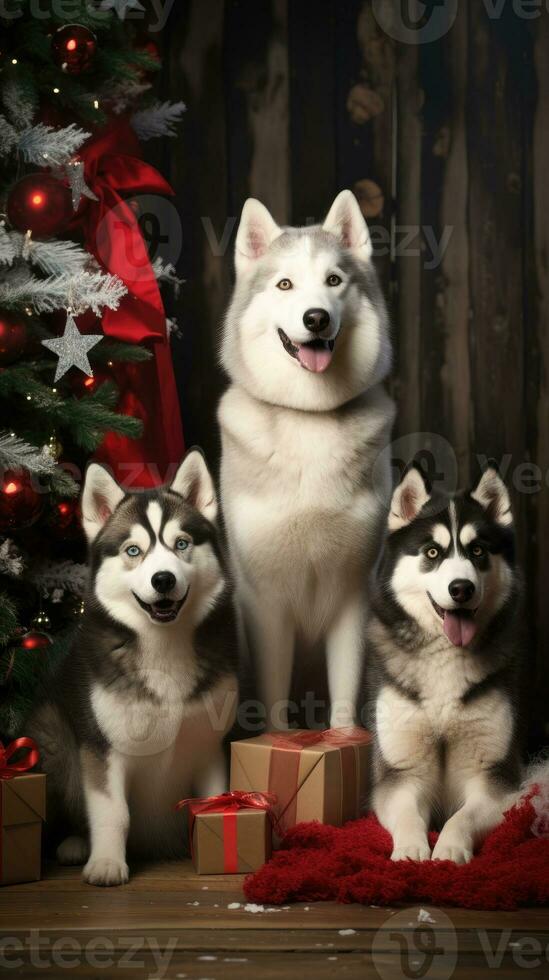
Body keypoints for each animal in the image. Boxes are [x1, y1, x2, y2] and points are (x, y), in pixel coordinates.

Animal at [26, 452, 238, 888]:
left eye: (181, 543)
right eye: (134, 550)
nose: (164, 579)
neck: (163, 646)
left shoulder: (209, 744)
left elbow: (210, 800)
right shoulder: (103, 748)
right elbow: (113, 813)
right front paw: (107, 863)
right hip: (50, 734)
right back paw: (74, 844)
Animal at [218, 189, 394, 728]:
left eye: (334, 280)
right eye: (285, 284)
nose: (316, 317)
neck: (309, 417)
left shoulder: (354, 594)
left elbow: (344, 699)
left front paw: (340, 737)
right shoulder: (266, 604)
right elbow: (274, 701)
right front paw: (276, 737)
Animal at [366, 464, 524, 860]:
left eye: (478, 550)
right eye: (433, 551)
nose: (461, 588)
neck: (445, 659)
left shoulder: (495, 779)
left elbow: (461, 817)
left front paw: (450, 849)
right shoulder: (401, 774)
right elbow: (408, 812)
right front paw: (410, 849)